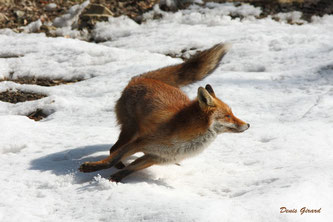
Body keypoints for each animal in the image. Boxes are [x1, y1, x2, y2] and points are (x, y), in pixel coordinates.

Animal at [79, 42, 248, 181]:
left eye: (232, 114)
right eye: (228, 116)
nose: (248, 125)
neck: (184, 143)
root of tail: (141, 78)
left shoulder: (156, 157)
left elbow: (132, 168)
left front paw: (116, 179)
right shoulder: (140, 142)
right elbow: (111, 160)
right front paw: (91, 168)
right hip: (130, 132)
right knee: (113, 149)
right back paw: (117, 163)